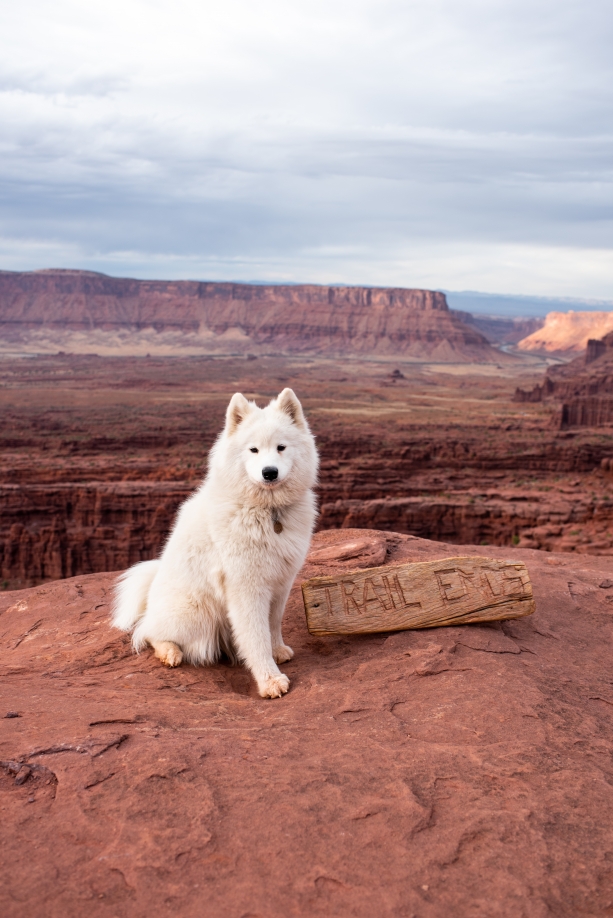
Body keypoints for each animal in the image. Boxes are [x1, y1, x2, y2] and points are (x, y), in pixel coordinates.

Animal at [112, 388, 318, 696]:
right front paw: (270, 680)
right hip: (194, 613)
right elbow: (256, 636)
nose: (269, 472)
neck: (267, 511)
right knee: (148, 631)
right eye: (253, 450)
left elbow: (273, 623)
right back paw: (169, 652)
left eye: (281, 447)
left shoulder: (281, 581)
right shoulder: (246, 587)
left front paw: (278, 650)